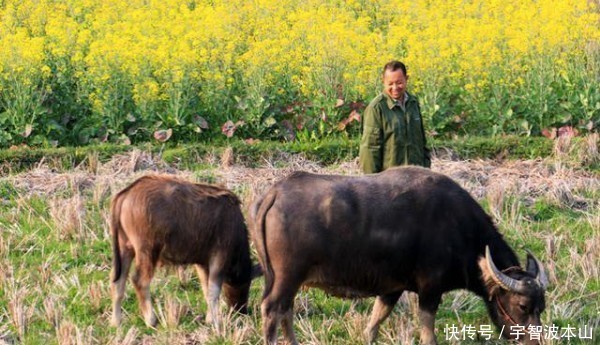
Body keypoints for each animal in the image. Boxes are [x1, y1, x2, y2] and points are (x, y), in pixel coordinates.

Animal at [109, 176, 258, 330]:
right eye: (246, 282)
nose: (242, 310)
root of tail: (126, 194)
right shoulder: (219, 257)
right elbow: (214, 290)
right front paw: (215, 322)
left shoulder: (202, 264)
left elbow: (206, 289)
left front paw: (210, 318)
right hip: (147, 251)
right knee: (139, 281)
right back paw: (151, 320)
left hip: (125, 249)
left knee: (117, 282)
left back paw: (116, 322)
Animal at [248, 165, 548, 342]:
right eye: (523, 306)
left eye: (541, 307)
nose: (536, 340)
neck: (459, 228)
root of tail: (274, 193)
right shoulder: (430, 291)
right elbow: (427, 334)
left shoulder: (391, 289)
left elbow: (373, 324)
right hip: (287, 277)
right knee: (273, 310)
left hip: (285, 279)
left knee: (285, 310)